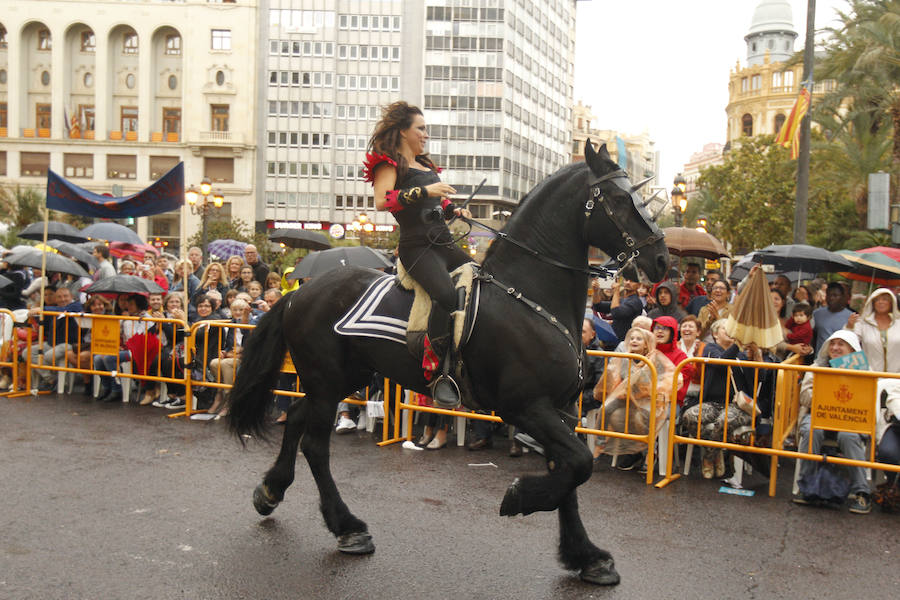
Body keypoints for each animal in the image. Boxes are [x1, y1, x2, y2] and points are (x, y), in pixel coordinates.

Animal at [229, 142, 672, 584]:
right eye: (618, 199)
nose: (663, 259)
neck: (529, 296)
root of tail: (298, 293)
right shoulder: (526, 407)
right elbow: (579, 465)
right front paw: (521, 498)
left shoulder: (560, 410)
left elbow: (572, 473)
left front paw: (586, 555)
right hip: (325, 380)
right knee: (315, 446)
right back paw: (348, 528)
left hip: (341, 378)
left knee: (297, 418)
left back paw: (270, 492)